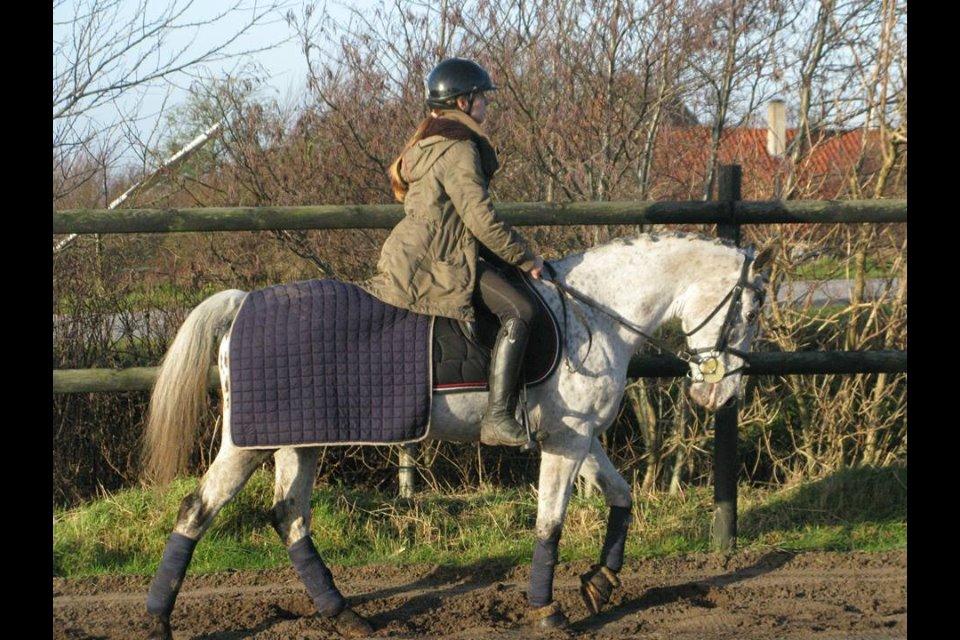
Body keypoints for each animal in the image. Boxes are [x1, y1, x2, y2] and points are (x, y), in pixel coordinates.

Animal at [140, 232, 771, 639]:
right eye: (751, 310)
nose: (720, 399)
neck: (595, 316)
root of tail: (243, 304)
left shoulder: (581, 439)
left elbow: (622, 495)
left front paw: (601, 582)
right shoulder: (566, 443)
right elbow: (550, 524)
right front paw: (547, 611)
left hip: (301, 442)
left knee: (289, 516)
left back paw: (347, 616)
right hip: (249, 443)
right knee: (199, 509)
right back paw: (157, 621)